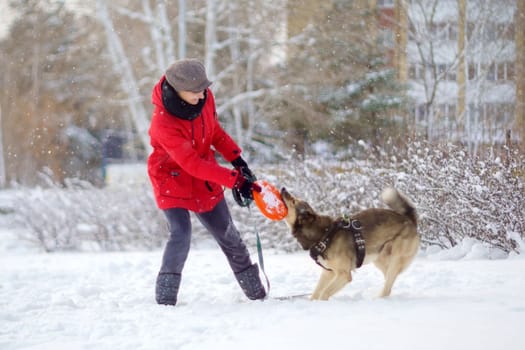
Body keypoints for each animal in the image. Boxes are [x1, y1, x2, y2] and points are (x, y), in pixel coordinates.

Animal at [280, 187, 420, 300]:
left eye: (294, 201)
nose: (283, 188)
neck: (323, 234)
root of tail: (409, 219)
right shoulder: (328, 272)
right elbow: (315, 294)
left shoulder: (344, 275)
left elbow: (324, 293)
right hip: (381, 259)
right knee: (389, 283)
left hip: (395, 258)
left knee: (388, 285)